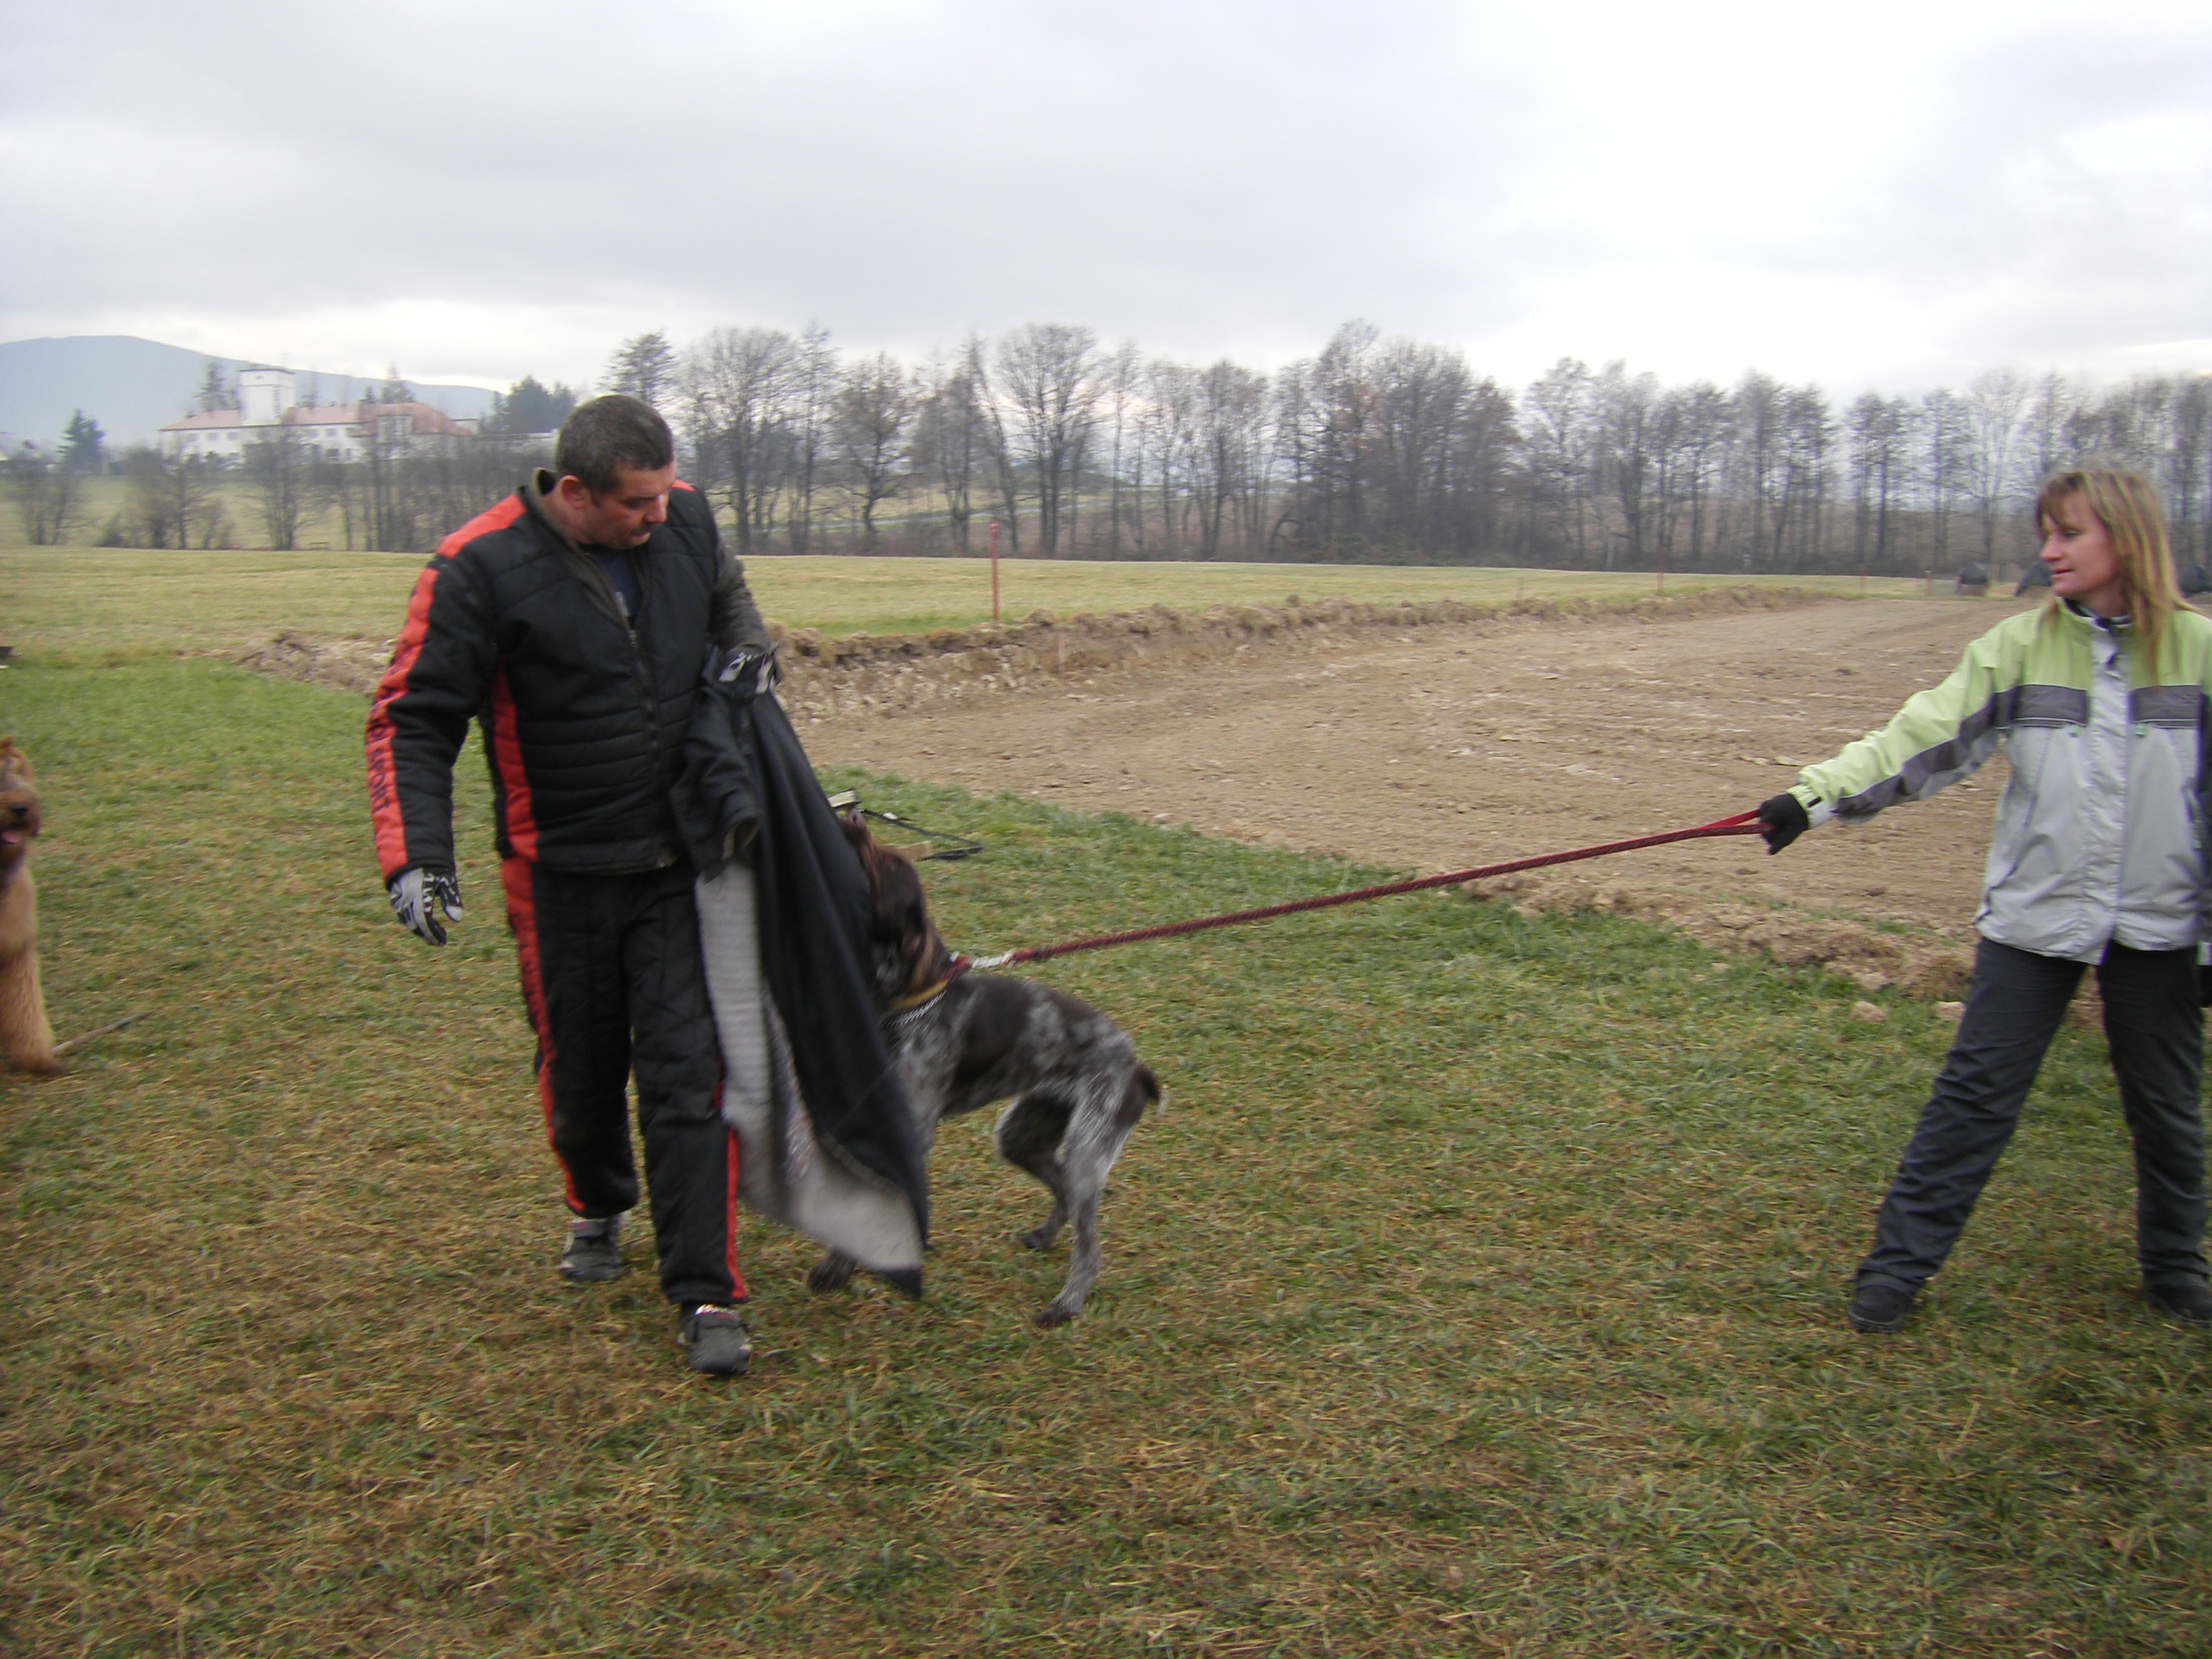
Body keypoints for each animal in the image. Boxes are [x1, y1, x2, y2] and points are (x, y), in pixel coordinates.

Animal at [814, 818, 1159, 1327]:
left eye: (891, 865)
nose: (853, 820)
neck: (902, 1009)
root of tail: (1136, 1067)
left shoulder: (910, 1133)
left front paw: (843, 1264)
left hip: (1086, 1151)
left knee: (1090, 1248)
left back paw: (1066, 1304)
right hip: (1023, 1136)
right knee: (1062, 1193)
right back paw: (1045, 1237)